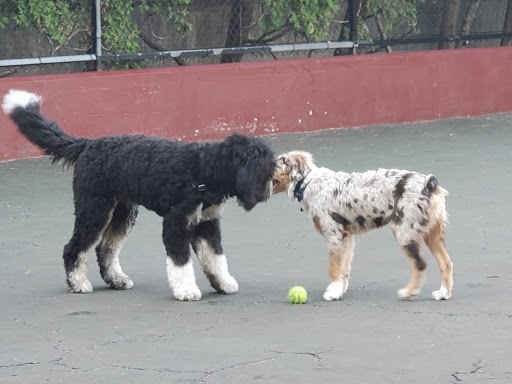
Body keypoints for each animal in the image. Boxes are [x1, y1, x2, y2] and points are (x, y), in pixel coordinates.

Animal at [3, 89, 276, 300]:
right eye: (265, 170)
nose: (269, 190)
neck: (205, 170)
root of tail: (88, 144)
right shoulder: (176, 222)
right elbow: (181, 261)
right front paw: (186, 290)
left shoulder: (207, 223)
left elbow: (215, 257)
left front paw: (224, 283)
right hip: (95, 209)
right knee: (75, 247)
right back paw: (78, 283)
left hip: (122, 213)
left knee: (106, 248)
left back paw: (116, 280)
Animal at [274, 152, 454, 302]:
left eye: (273, 164)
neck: (308, 183)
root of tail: (428, 183)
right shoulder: (347, 238)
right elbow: (344, 268)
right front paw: (339, 289)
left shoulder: (334, 236)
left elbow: (333, 268)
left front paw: (333, 292)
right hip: (432, 235)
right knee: (446, 263)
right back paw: (443, 293)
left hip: (404, 232)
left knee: (420, 264)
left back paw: (409, 292)